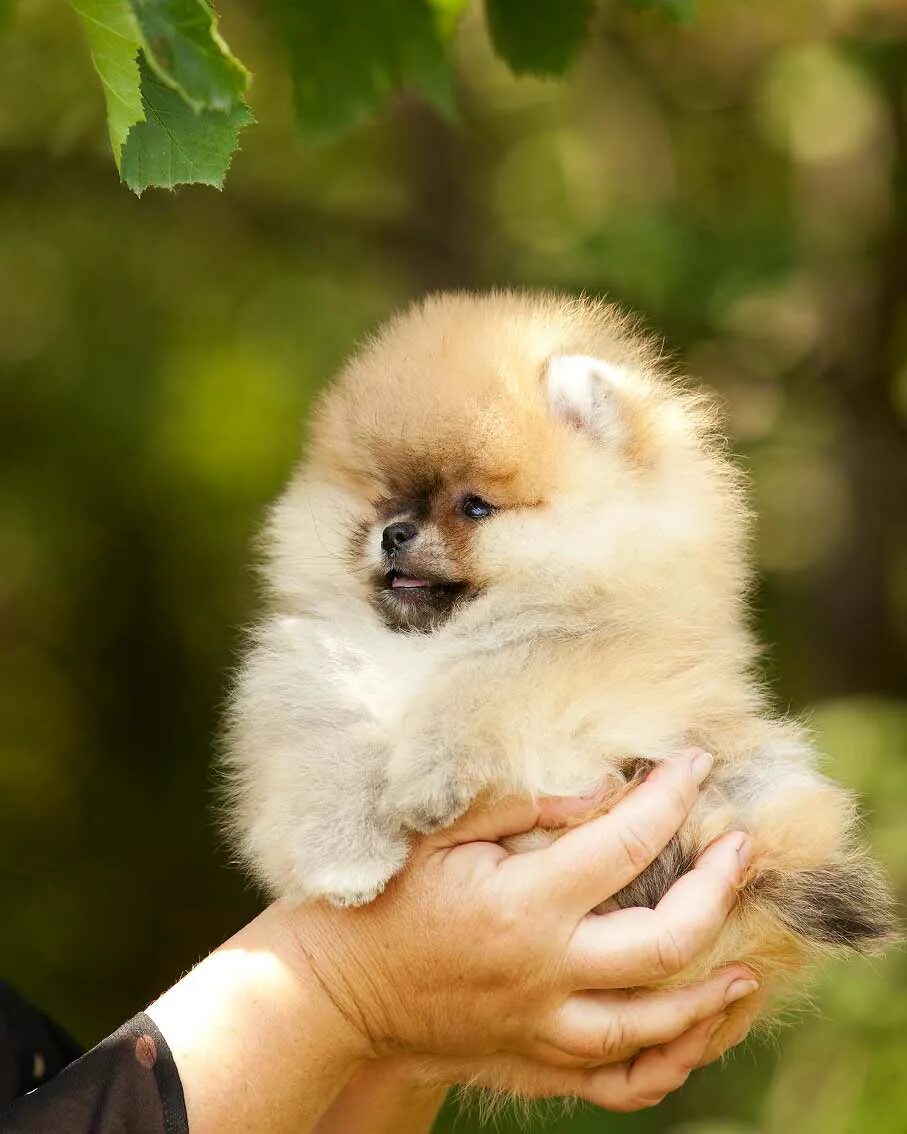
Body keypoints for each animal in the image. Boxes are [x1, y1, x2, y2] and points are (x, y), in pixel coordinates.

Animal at [224, 290, 893, 1011]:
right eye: (382, 499)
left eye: (475, 507)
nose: (394, 533)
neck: (429, 644)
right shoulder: (314, 681)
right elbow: (329, 760)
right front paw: (344, 861)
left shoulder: (582, 668)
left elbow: (484, 683)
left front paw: (428, 779)